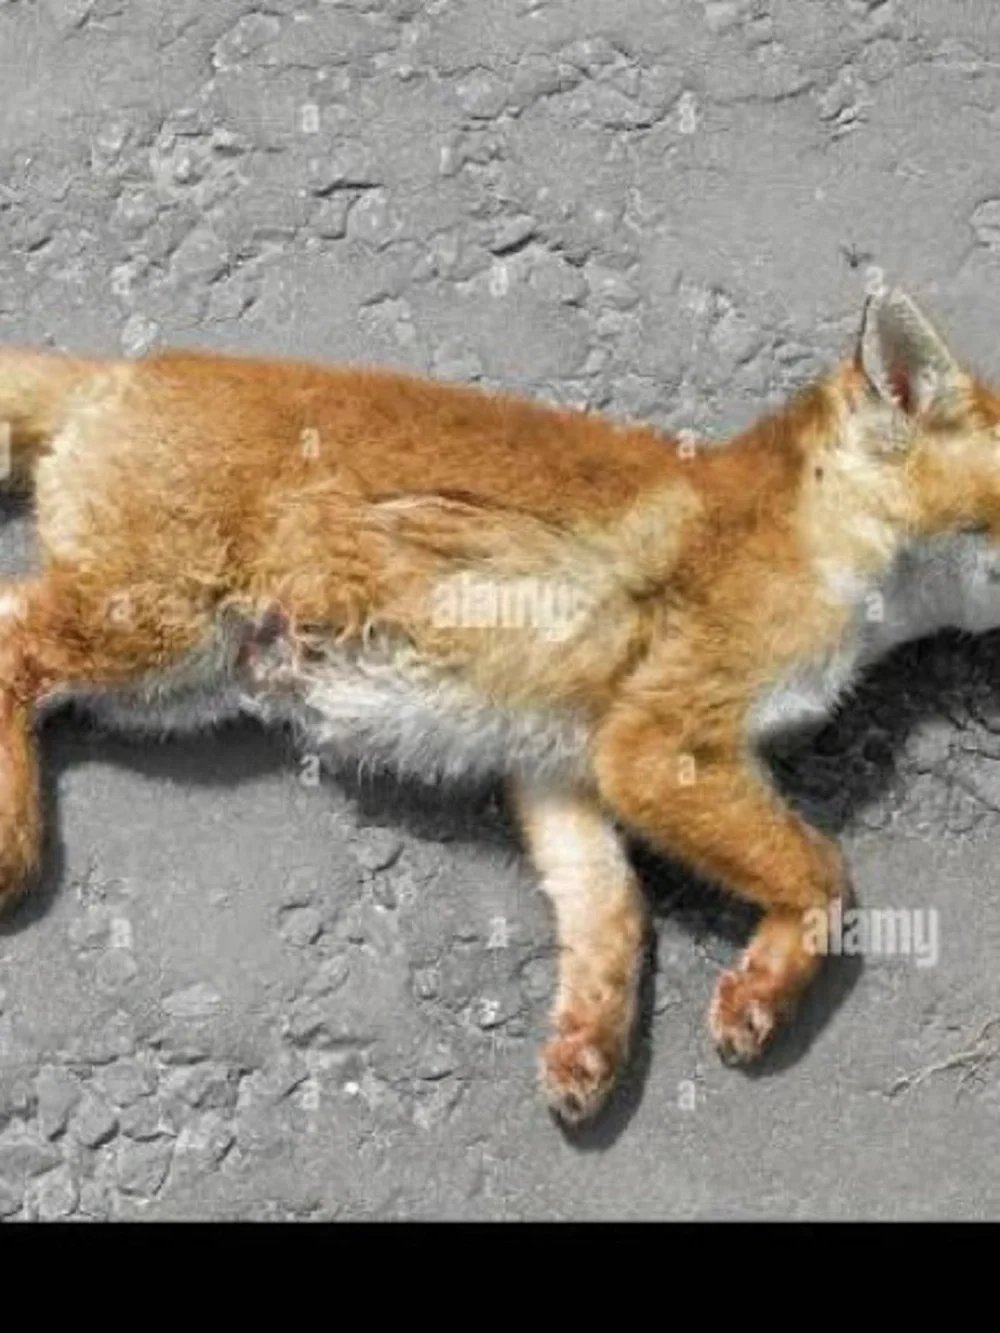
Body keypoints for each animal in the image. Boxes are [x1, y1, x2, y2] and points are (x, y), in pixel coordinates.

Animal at [1, 286, 999, 1126]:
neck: (827, 539)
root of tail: (123, 372)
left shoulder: (563, 768)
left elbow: (612, 915)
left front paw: (590, 1045)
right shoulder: (655, 745)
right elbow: (822, 869)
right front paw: (762, 994)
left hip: (176, 685)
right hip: (155, 633)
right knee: (13, 636)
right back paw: (15, 841)